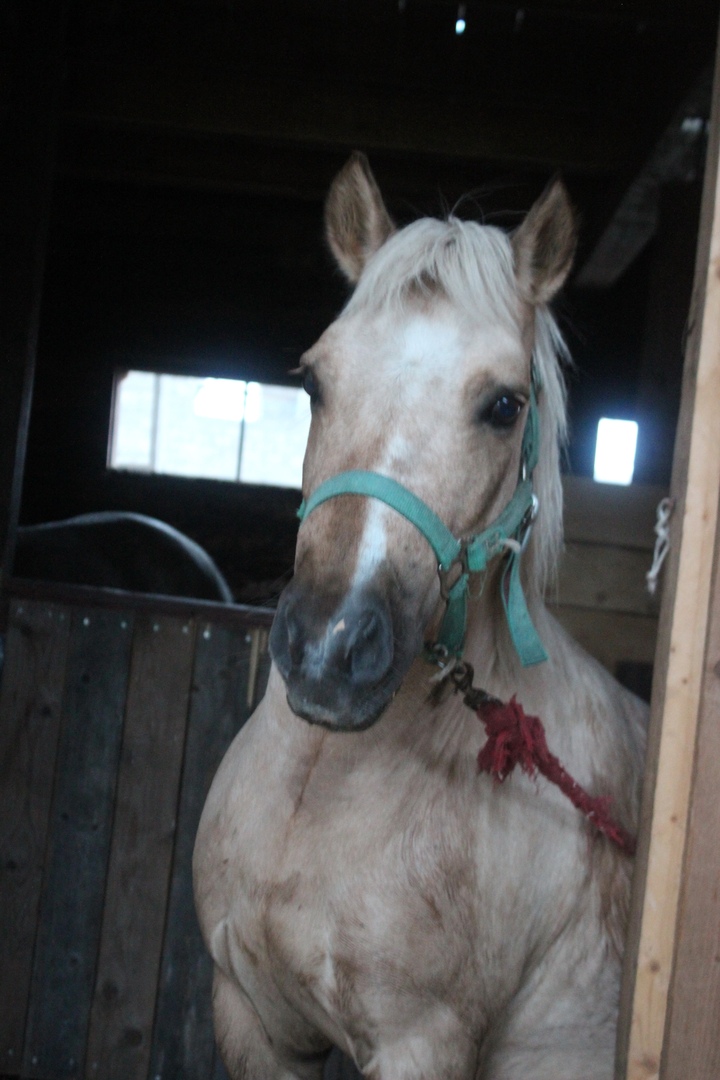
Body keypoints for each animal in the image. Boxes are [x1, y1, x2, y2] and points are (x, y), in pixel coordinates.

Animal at [193, 154, 647, 1080]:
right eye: (313, 379)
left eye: (505, 405)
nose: (330, 648)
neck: (321, 787)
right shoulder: (251, 1016)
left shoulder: (422, 1045)